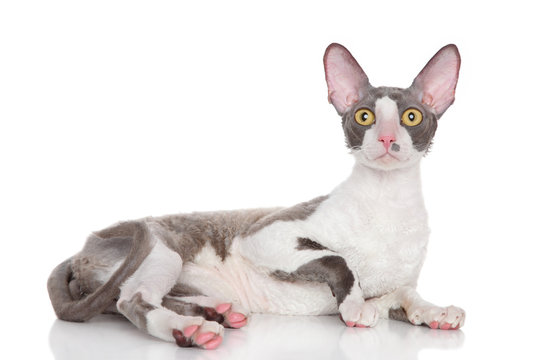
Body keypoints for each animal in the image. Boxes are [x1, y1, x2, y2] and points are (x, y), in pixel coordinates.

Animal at [48, 42, 466, 348]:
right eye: (365, 117)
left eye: (411, 117)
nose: (387, 139)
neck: (389, 203)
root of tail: (84, 248)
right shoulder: (266, 235)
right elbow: (339, 259)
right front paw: (354, 305)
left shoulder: (394, 286)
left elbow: (405, 293)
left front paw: (435, 312)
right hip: (162, 248)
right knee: (130, 300)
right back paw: (191, 329)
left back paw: (217, 313)